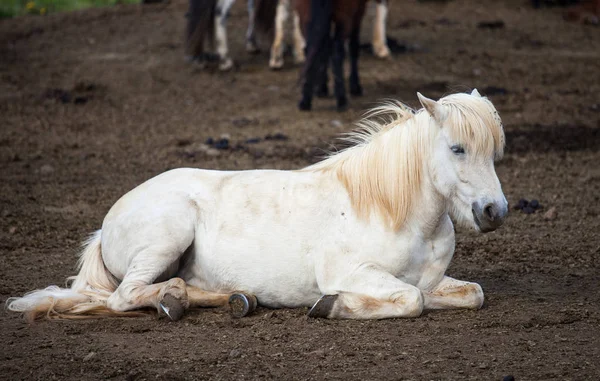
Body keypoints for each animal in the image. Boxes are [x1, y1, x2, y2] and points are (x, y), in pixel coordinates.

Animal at [8, 90, 506, 322]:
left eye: (495, 151)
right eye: (458, 148)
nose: (494, 212)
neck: (389, 209)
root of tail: (106, 224)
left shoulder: (435, 280)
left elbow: (470, 293)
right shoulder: (353, 273)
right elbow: (411, 300)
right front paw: (331, 306)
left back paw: (225, 297)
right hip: (166, 237)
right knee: (123, 296)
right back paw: (174, 299)